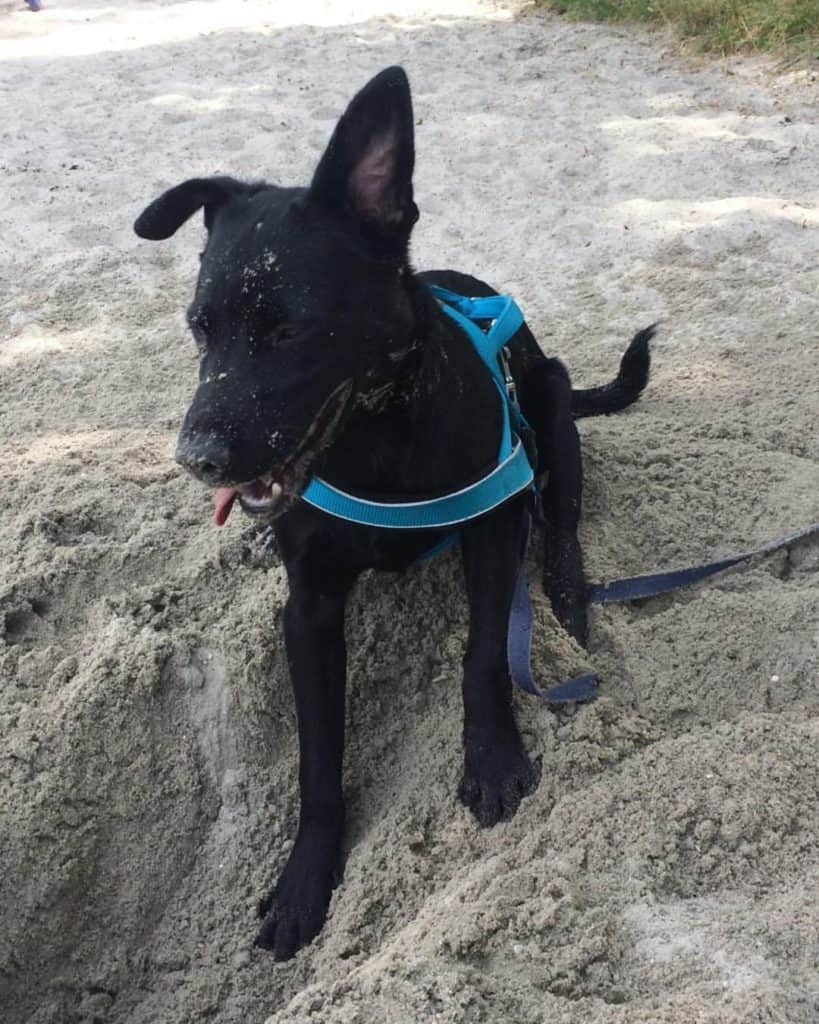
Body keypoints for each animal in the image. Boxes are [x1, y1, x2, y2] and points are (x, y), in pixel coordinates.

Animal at [133, 68, 651, 962]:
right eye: (199, 328)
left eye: (289, 330)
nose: (195, 458)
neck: (372, 439)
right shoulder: (308, 606)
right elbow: (317, 758)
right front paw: (304, 880)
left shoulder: (492, 534)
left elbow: (484, 657)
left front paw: (492, 760)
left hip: (550, 400)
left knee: (562, 520)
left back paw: (567, 595)